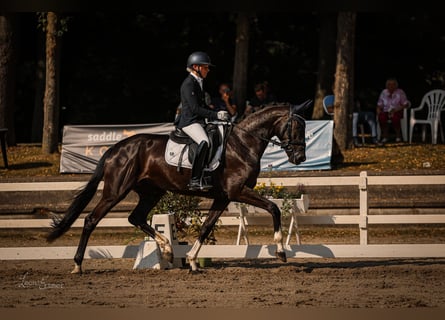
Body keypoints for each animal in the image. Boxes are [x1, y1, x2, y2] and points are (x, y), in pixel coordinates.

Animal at [46, 101, 308, 274]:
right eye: (296, 128)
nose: (300, 158)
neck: (242, 144)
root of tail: (115, 149)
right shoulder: (237, 191)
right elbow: (274, 208)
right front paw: (281, 251)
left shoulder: (223, 197)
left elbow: (206, 227)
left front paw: (191, 260)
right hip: (116, 191)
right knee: (91, 220)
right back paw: (77, 264)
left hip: (152, 192)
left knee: (136, 217)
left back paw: (167, 249)